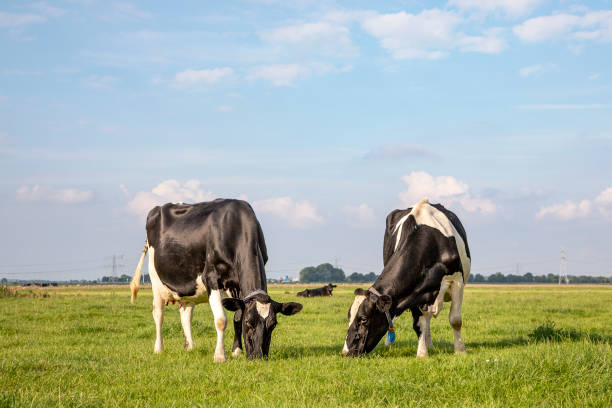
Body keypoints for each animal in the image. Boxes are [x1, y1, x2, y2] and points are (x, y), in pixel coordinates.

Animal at [130, 199, 302, 362]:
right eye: (249, 322)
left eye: (273, 325)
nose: (258, 357)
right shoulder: (211, 278)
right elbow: (221, 320)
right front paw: (220, 356)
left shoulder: (237, 286)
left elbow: (236, 317)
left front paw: (236, 351)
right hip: (155, 279)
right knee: (158, 314)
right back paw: (158, 349)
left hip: (188, 286)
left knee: (186, 315)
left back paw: (190, 347)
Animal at [342, 199, 470, 358]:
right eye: (349, 316)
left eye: (364, 319)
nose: (345, 352)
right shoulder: (414, 292)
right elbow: (419, 324)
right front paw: (422, 353)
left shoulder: (457, 280)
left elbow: (455, 320)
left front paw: (460, 350)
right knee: (426, 319)